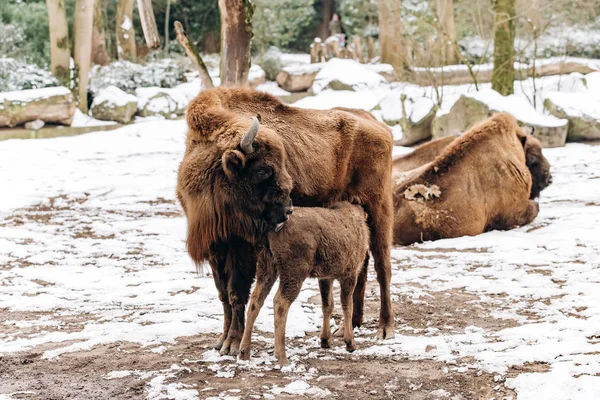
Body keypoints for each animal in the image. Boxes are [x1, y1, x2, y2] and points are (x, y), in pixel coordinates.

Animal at [239, 203, 370, 366]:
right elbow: (347, 306)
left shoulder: (325, 277)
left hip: (266, 266)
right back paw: (281, 356)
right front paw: (350, 342)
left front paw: (325, 340)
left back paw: (244, 351)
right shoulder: (349, 274)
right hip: (294, 271)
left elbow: (328, 305)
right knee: (280, 302)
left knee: (255, 300)